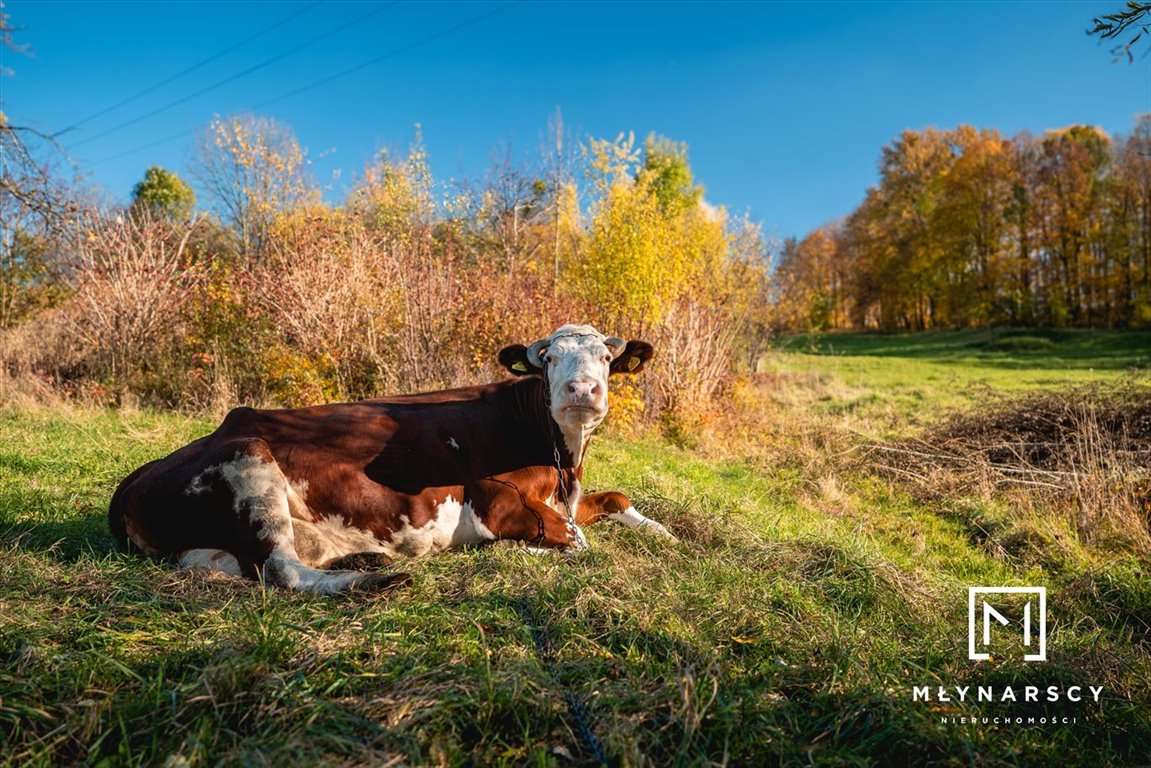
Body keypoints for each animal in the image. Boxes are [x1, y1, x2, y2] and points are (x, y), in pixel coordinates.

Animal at [108, 324, 672, 594]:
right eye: (549, 359)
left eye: (606, 358)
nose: (582, 390)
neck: (563, 462)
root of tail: (133, 481)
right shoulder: (495, 503)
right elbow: (576, 543)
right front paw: (524, 551)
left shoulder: (568, 497)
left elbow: (613, 498)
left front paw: (664, 532)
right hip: (247, 455)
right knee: (283, 571)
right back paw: (381, 580)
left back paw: (368, 559)